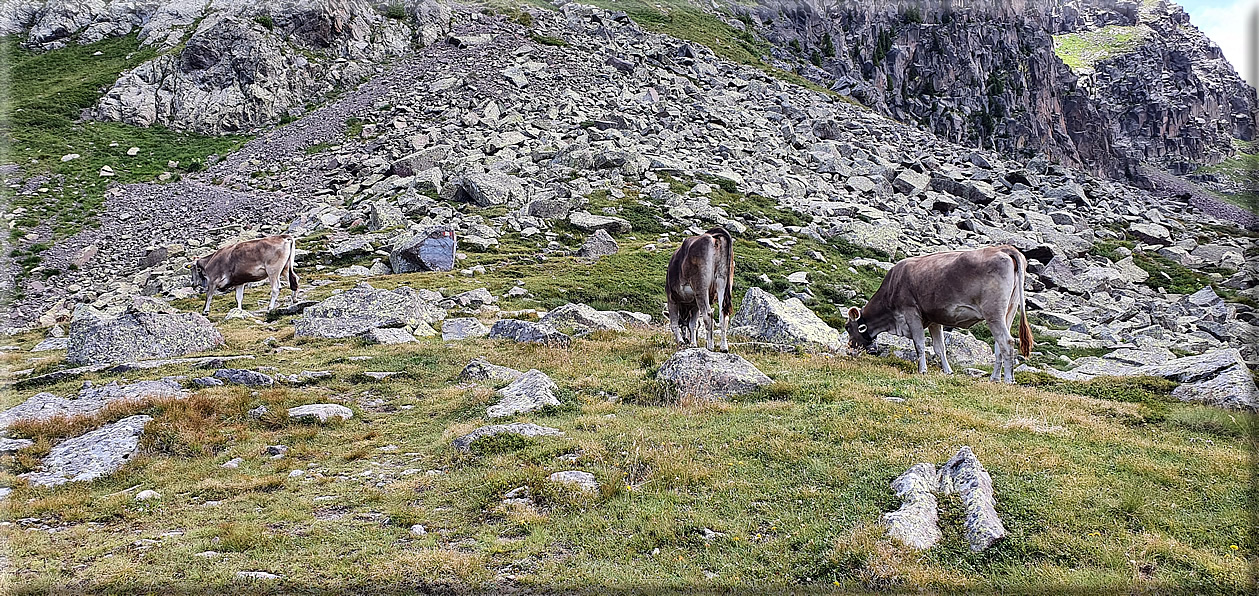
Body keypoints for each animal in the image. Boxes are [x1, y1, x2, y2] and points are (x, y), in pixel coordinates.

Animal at [846, 244, 1032, 383]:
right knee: (999, 345)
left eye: (848, 327)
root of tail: (1004, 248)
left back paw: (1008, 380)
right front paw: (948, 371)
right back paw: (994, 378)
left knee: (1007, 342)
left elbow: (920, 344)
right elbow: (939, 347)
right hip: (1009, 310)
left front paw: (922, 370)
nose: (849, 349)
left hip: (993, 312)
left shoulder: (910, 311)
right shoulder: (933, 318)